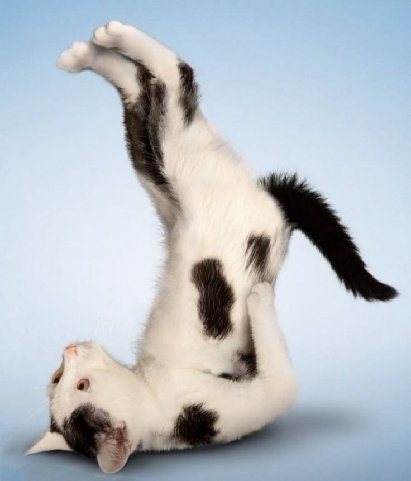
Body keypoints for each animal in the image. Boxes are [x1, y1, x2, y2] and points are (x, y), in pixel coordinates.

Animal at [27, 21, 397, 473]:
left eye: (74, 382)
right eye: (62, 379)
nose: (70, 349)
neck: (157, 405)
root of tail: (271, 201)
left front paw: (258, 297)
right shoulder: (268, 393)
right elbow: (280, 367)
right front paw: (260, 296)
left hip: (172, 166)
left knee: (166, 81)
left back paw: (96, 43)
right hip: (166, 172)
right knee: (153, 92)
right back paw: (88, 52)